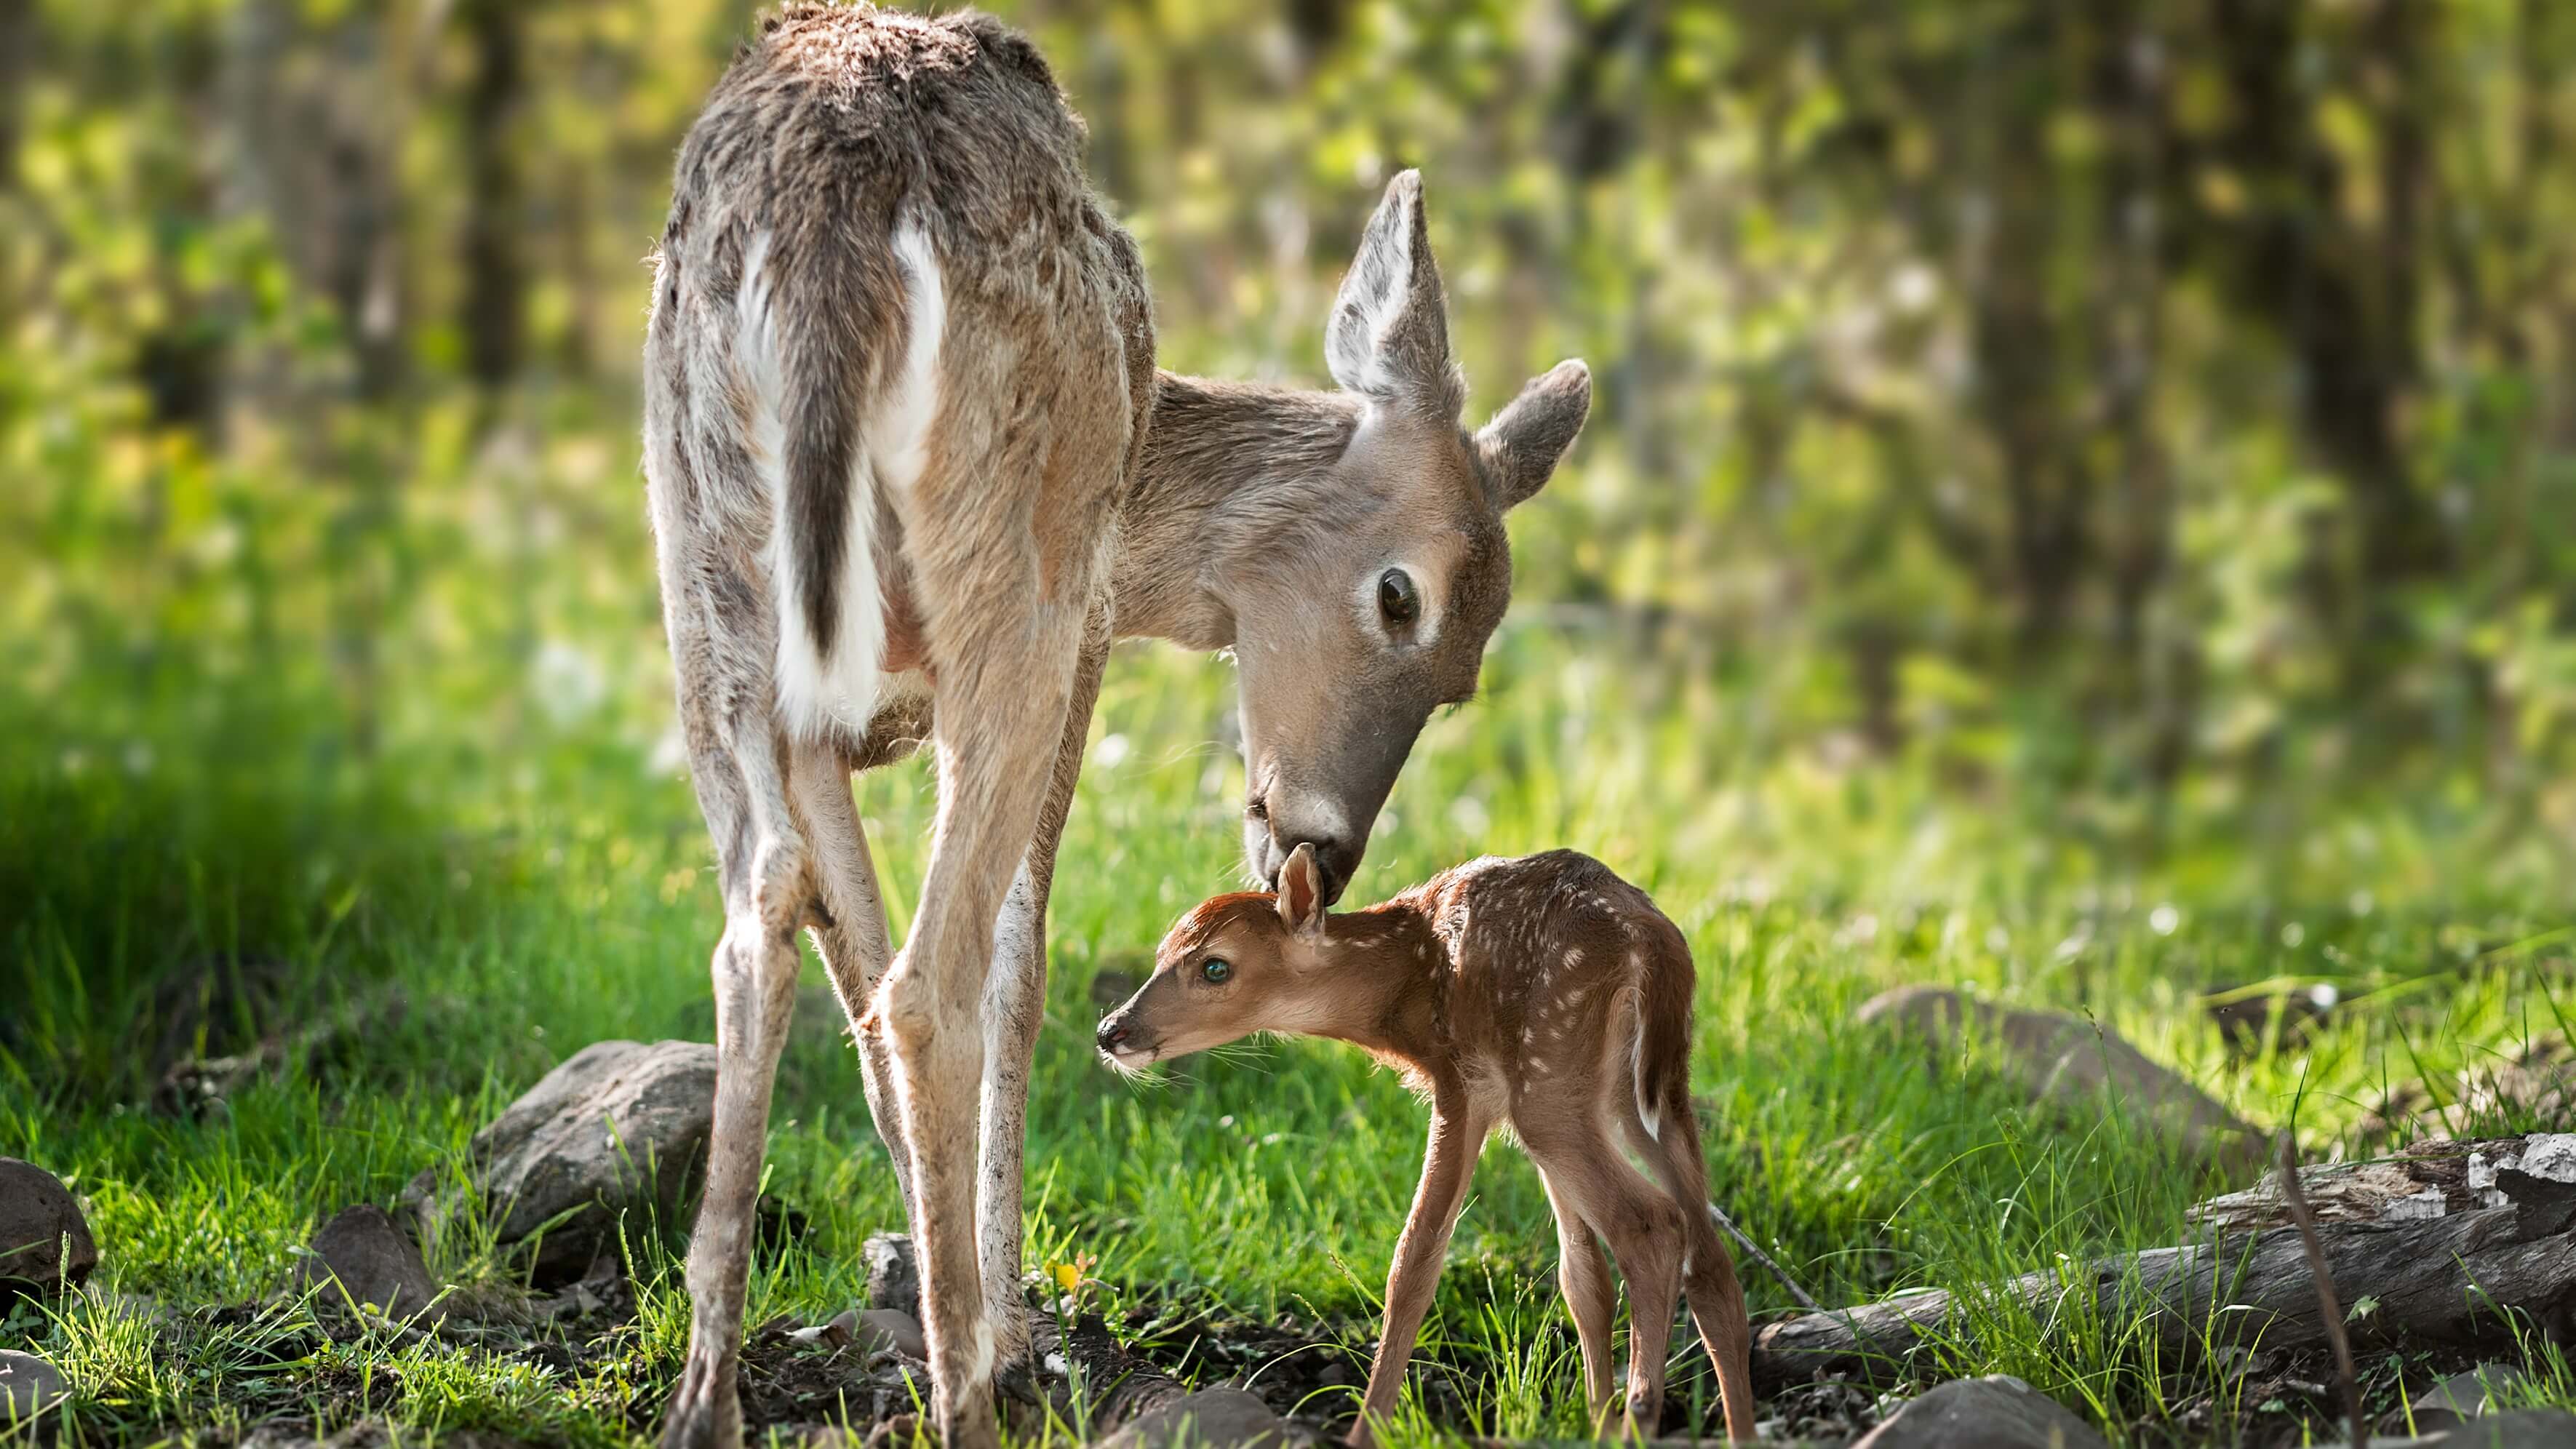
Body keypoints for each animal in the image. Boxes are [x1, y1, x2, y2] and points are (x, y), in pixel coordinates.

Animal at [644, 5, 1587, 1441]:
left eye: (1467, 676)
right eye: (1402, 596)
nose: (1324, 849)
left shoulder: (815, 728)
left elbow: (842, 951)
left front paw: (929, 1272)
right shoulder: (1087, 626)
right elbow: (1016, 961)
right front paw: (1006, 1320)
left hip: (706, 580)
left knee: (759, 930)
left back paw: (710, 1395)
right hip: (1014, 581)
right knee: (935, 979)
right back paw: (968, 1396)